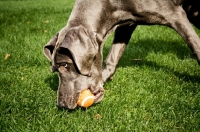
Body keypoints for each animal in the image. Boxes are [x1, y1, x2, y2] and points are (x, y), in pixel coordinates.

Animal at [43, 0, 200, 109]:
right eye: (55, 69)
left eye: (64, 65)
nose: (61, 104)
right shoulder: (126, 25)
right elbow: (111, 59)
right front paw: (104, 78)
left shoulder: (174, 14)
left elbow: (195, 43)